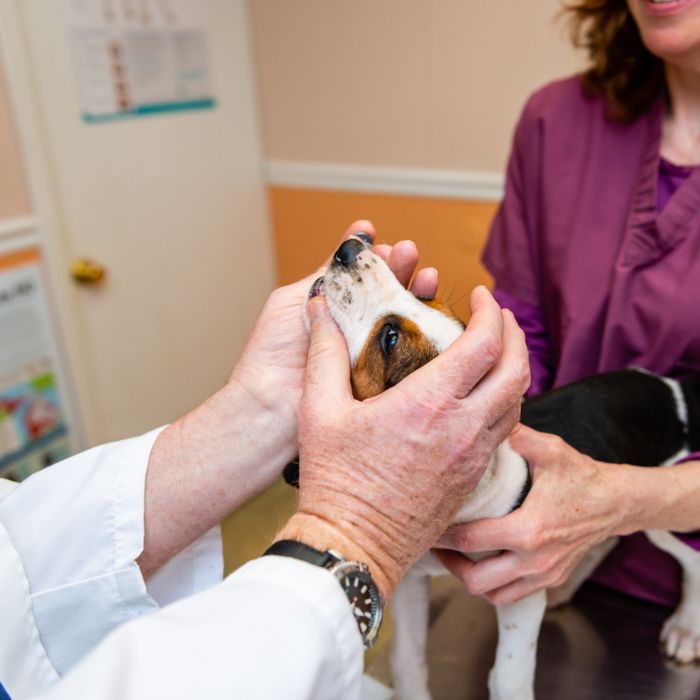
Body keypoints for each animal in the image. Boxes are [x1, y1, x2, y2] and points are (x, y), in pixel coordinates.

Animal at [286, 238, 700, 696]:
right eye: (422, 296)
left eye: (390, 338)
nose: (350, 246)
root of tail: (677, 392)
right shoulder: (411, 581)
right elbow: (407, 658)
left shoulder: (519, 589)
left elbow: (508, 676)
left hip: (660, 511)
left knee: (690, 559)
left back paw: (686, 627)